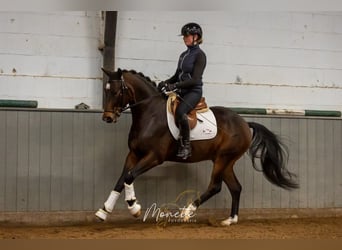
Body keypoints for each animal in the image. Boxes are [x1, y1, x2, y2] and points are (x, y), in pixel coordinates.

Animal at [95, 67, 298, 226]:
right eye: (106, 90)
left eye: (116, 91)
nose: (107, 118)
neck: (150, 115)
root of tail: (244, 123)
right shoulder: (134, 154)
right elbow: (122, 179)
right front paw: (104, 211)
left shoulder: (154, 157)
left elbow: (129, 176)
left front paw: (134, 207)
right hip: (226, 161)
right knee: (236, 187)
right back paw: (230, 220)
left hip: (223, 159)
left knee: (215, 186)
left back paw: (186, 212)